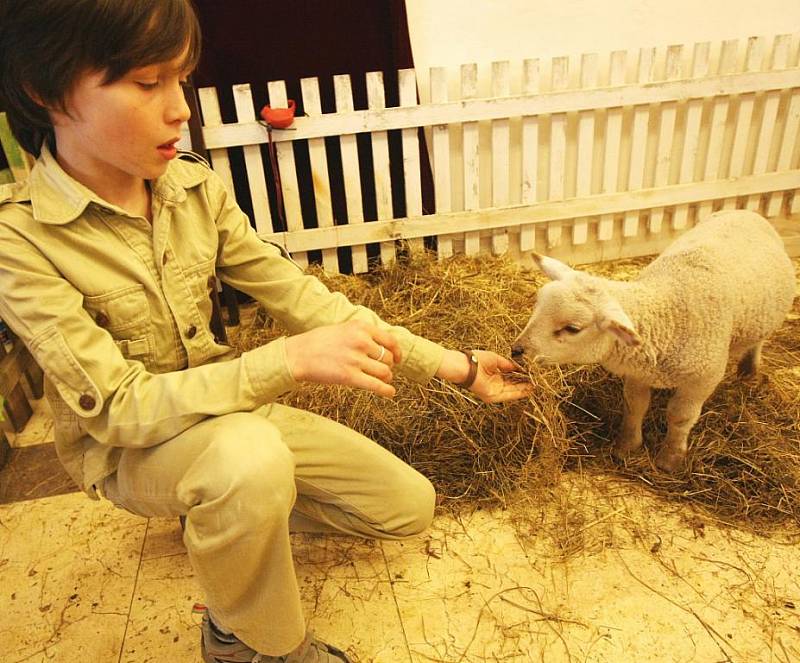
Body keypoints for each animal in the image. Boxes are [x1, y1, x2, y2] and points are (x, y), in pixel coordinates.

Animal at [510, 210, 796, 474]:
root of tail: (745, 211)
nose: (517, 350)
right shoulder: (638, 372)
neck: (665, 313)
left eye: (572, 328)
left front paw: (670, 459)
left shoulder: (703, 378)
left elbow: (680, 417)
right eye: (537, 305)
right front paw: (626, 447)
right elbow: (634, 406)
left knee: (758, 341)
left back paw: (749, 369)